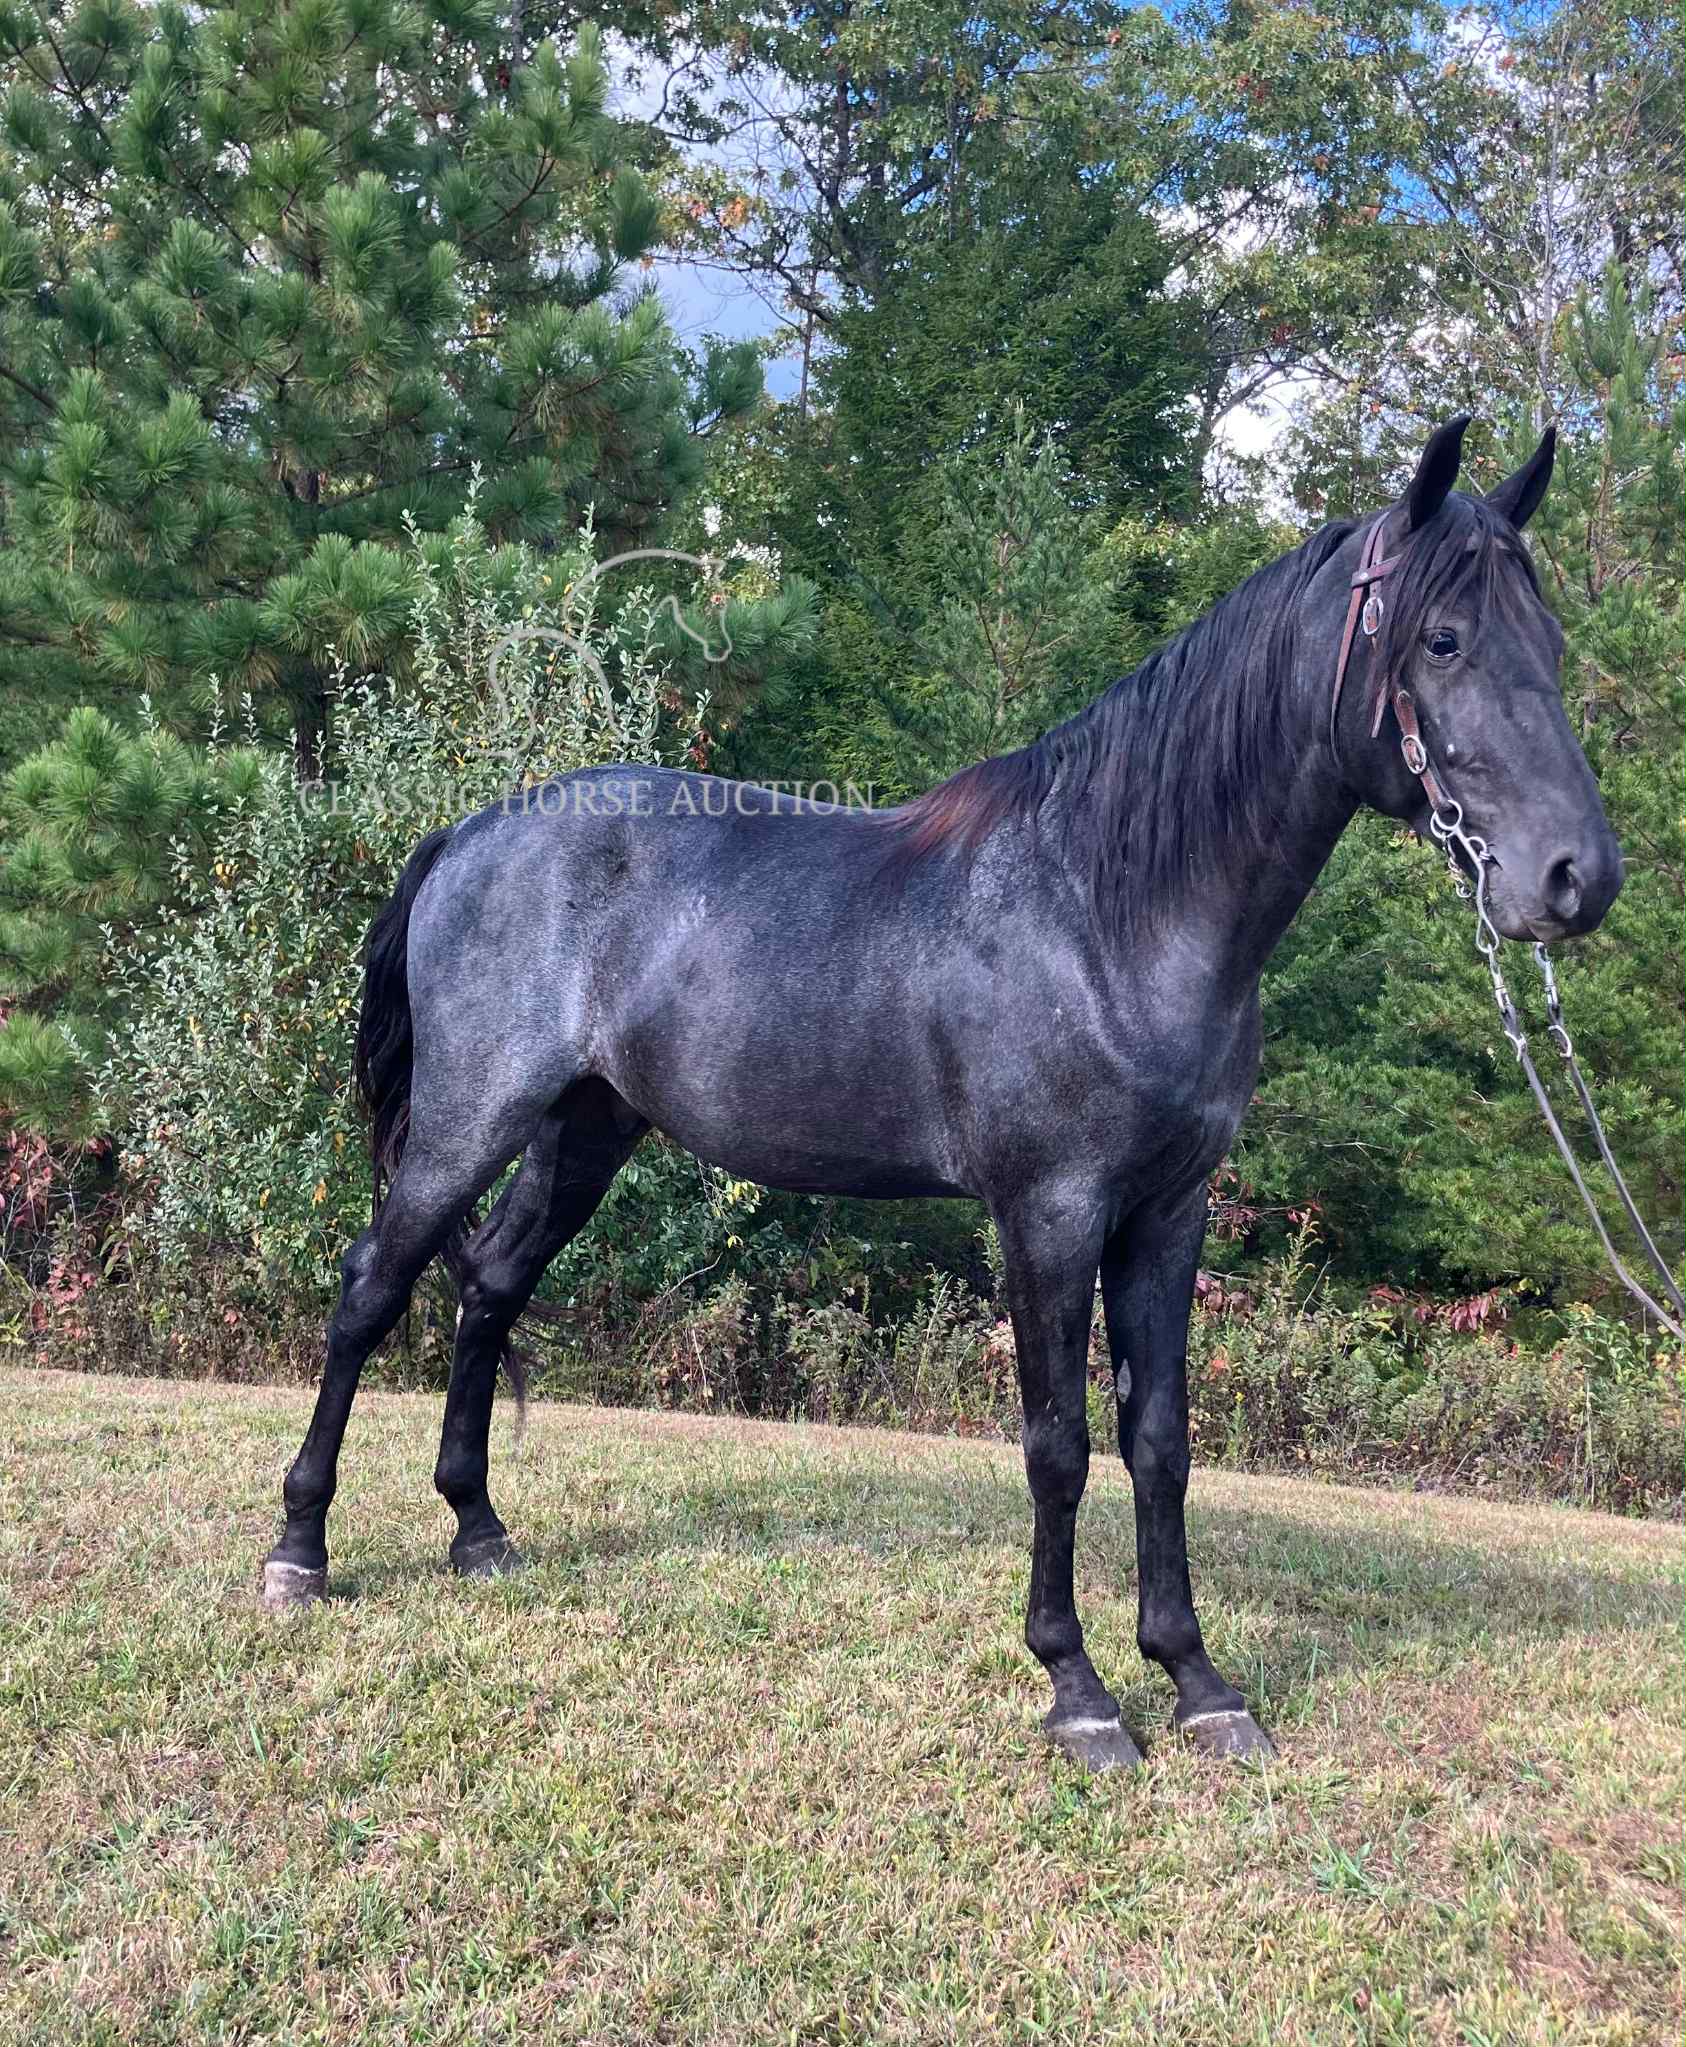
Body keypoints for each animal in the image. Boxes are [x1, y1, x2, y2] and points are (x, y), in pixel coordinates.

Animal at [262, 417, 1621, 1771]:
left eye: (1552, 645)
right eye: (1442, 640)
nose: (1577, 878)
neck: (1110, 907)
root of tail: (474, 832)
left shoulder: (1167, 1215)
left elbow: (1162, 1441)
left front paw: (1196, 1678)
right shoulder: (1050, 1212)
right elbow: (1060, 1445)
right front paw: (1078, 1687)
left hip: (582, 1129)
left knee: (490, 1284)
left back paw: (478, 1529)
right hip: (469, 1119)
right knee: (371, 1285)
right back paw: (300, 1549)